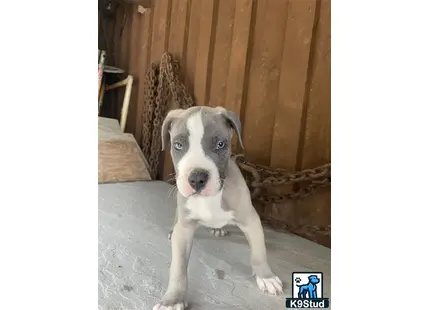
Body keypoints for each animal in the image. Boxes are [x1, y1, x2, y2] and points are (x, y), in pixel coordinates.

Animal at [154, 106, 282, 310]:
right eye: (178, 145)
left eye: (221, 144)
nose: (197, 178)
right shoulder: (185, 229)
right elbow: (178, 267)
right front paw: (172, 299)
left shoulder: (251, 220)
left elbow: (259, 252)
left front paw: (266, 277)